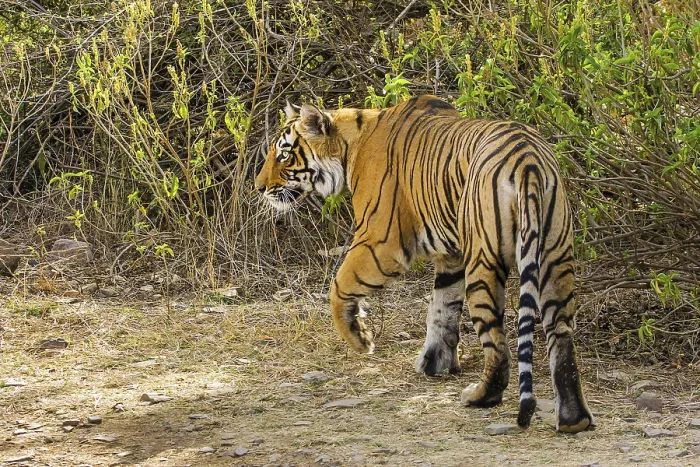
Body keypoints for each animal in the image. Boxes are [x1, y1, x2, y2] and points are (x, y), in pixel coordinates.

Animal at [255, 95, 593, 433]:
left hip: (484, 261)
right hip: (554, 256)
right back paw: (573, 420)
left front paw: (360, 339)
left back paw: (479, 396)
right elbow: (442, 309)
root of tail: (529, 161)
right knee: (561, 334)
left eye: (284, 155)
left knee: (496, 342)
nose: (259, 187)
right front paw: (435, 362)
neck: (351, 144)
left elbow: (340, 285)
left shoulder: (381, 241)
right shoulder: (452, 255)